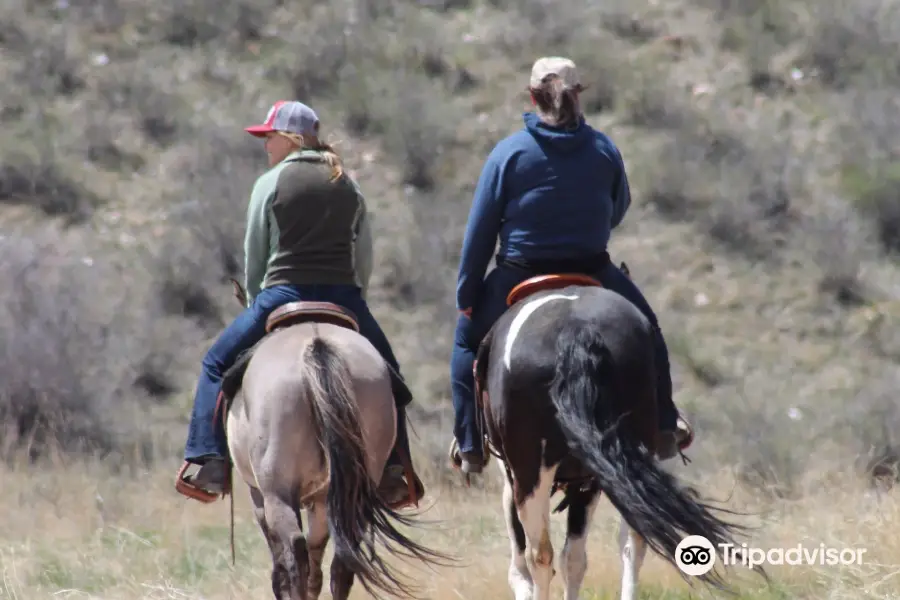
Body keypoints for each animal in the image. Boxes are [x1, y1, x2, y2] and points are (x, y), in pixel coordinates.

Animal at [178, 282, 450, 600]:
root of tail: (316, 346)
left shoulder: (259, 496)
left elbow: (281, 567)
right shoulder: (322, 499)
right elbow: (317, 560)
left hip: (277, 489)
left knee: (294, 550)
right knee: (343, 557)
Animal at [464, 272, 760, 600]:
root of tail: (575, 330)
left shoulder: (515, 473)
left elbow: (527, 560)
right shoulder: (588, 479)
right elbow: (575, 557)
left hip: (532, 469)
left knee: (539, 554)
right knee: (633, 537)